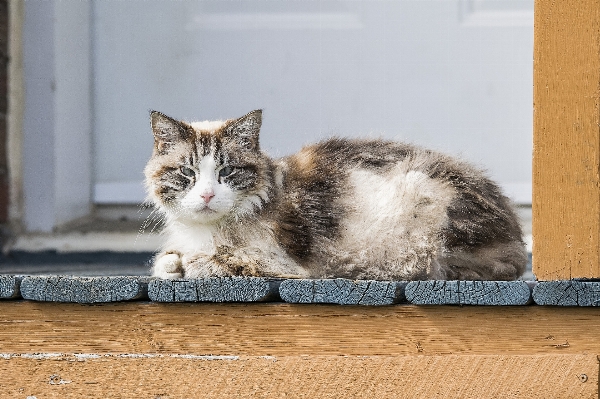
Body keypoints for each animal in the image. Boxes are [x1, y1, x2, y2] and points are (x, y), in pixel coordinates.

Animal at [144, 109, 524, 282]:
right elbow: (164, 260)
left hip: (421, 198)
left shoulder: (285, 263)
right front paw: (172, 262)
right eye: (187, 173)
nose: (207, 196)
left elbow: (228, 261)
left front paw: (193, 263)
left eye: (228, 172)